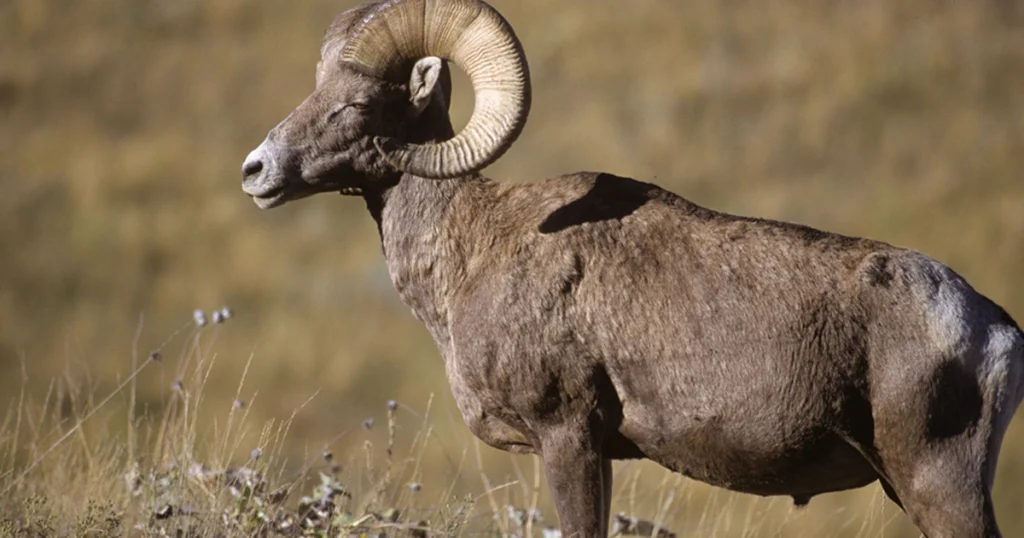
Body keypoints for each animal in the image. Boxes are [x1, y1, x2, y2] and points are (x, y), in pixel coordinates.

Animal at [240, 1, 1024, 536]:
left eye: (355, 102)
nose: (257, 171)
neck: (472, 253)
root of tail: (994, 332)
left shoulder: (569, 438)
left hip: (937, 484)